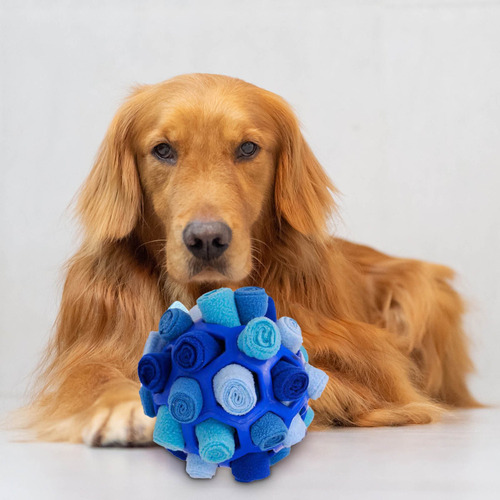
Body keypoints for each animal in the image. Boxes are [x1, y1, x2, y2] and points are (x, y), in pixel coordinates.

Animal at [21, 73, 478, 446]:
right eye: (163, 150)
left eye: (247, 148)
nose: (206, 240)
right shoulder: (90, 357)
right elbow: (97, 378)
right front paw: (120, 406)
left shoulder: (374, 369)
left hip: (420, 290)